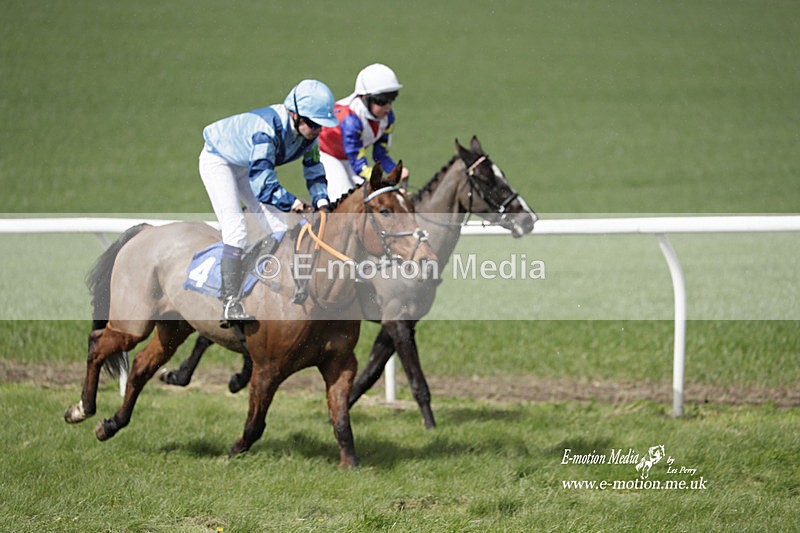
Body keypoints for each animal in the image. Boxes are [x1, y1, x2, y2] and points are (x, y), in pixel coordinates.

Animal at [64, 163, 436, 468]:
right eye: (385, 211)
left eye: (412, 206)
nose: (427, 258)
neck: (315, 287)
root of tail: (146, 231)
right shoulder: (268, 367)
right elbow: (256, 423)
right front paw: (231, 452)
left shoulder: (340, 362)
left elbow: (341, 418)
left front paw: (350, 464)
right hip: (133, 321)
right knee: (98, 343)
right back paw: (81, 409)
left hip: (173, 327)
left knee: (141, 366)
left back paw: (111, 424)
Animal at [160, 136, 537, 428]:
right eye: (488, 180)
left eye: (501, 175)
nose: (529, 219)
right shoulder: (397, 320)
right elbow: (417, 381)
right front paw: (432, 429)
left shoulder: (399, 323)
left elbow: (368, 374)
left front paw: (341, 410)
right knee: (213, 327)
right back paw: (184, 374)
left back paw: (232, 375)